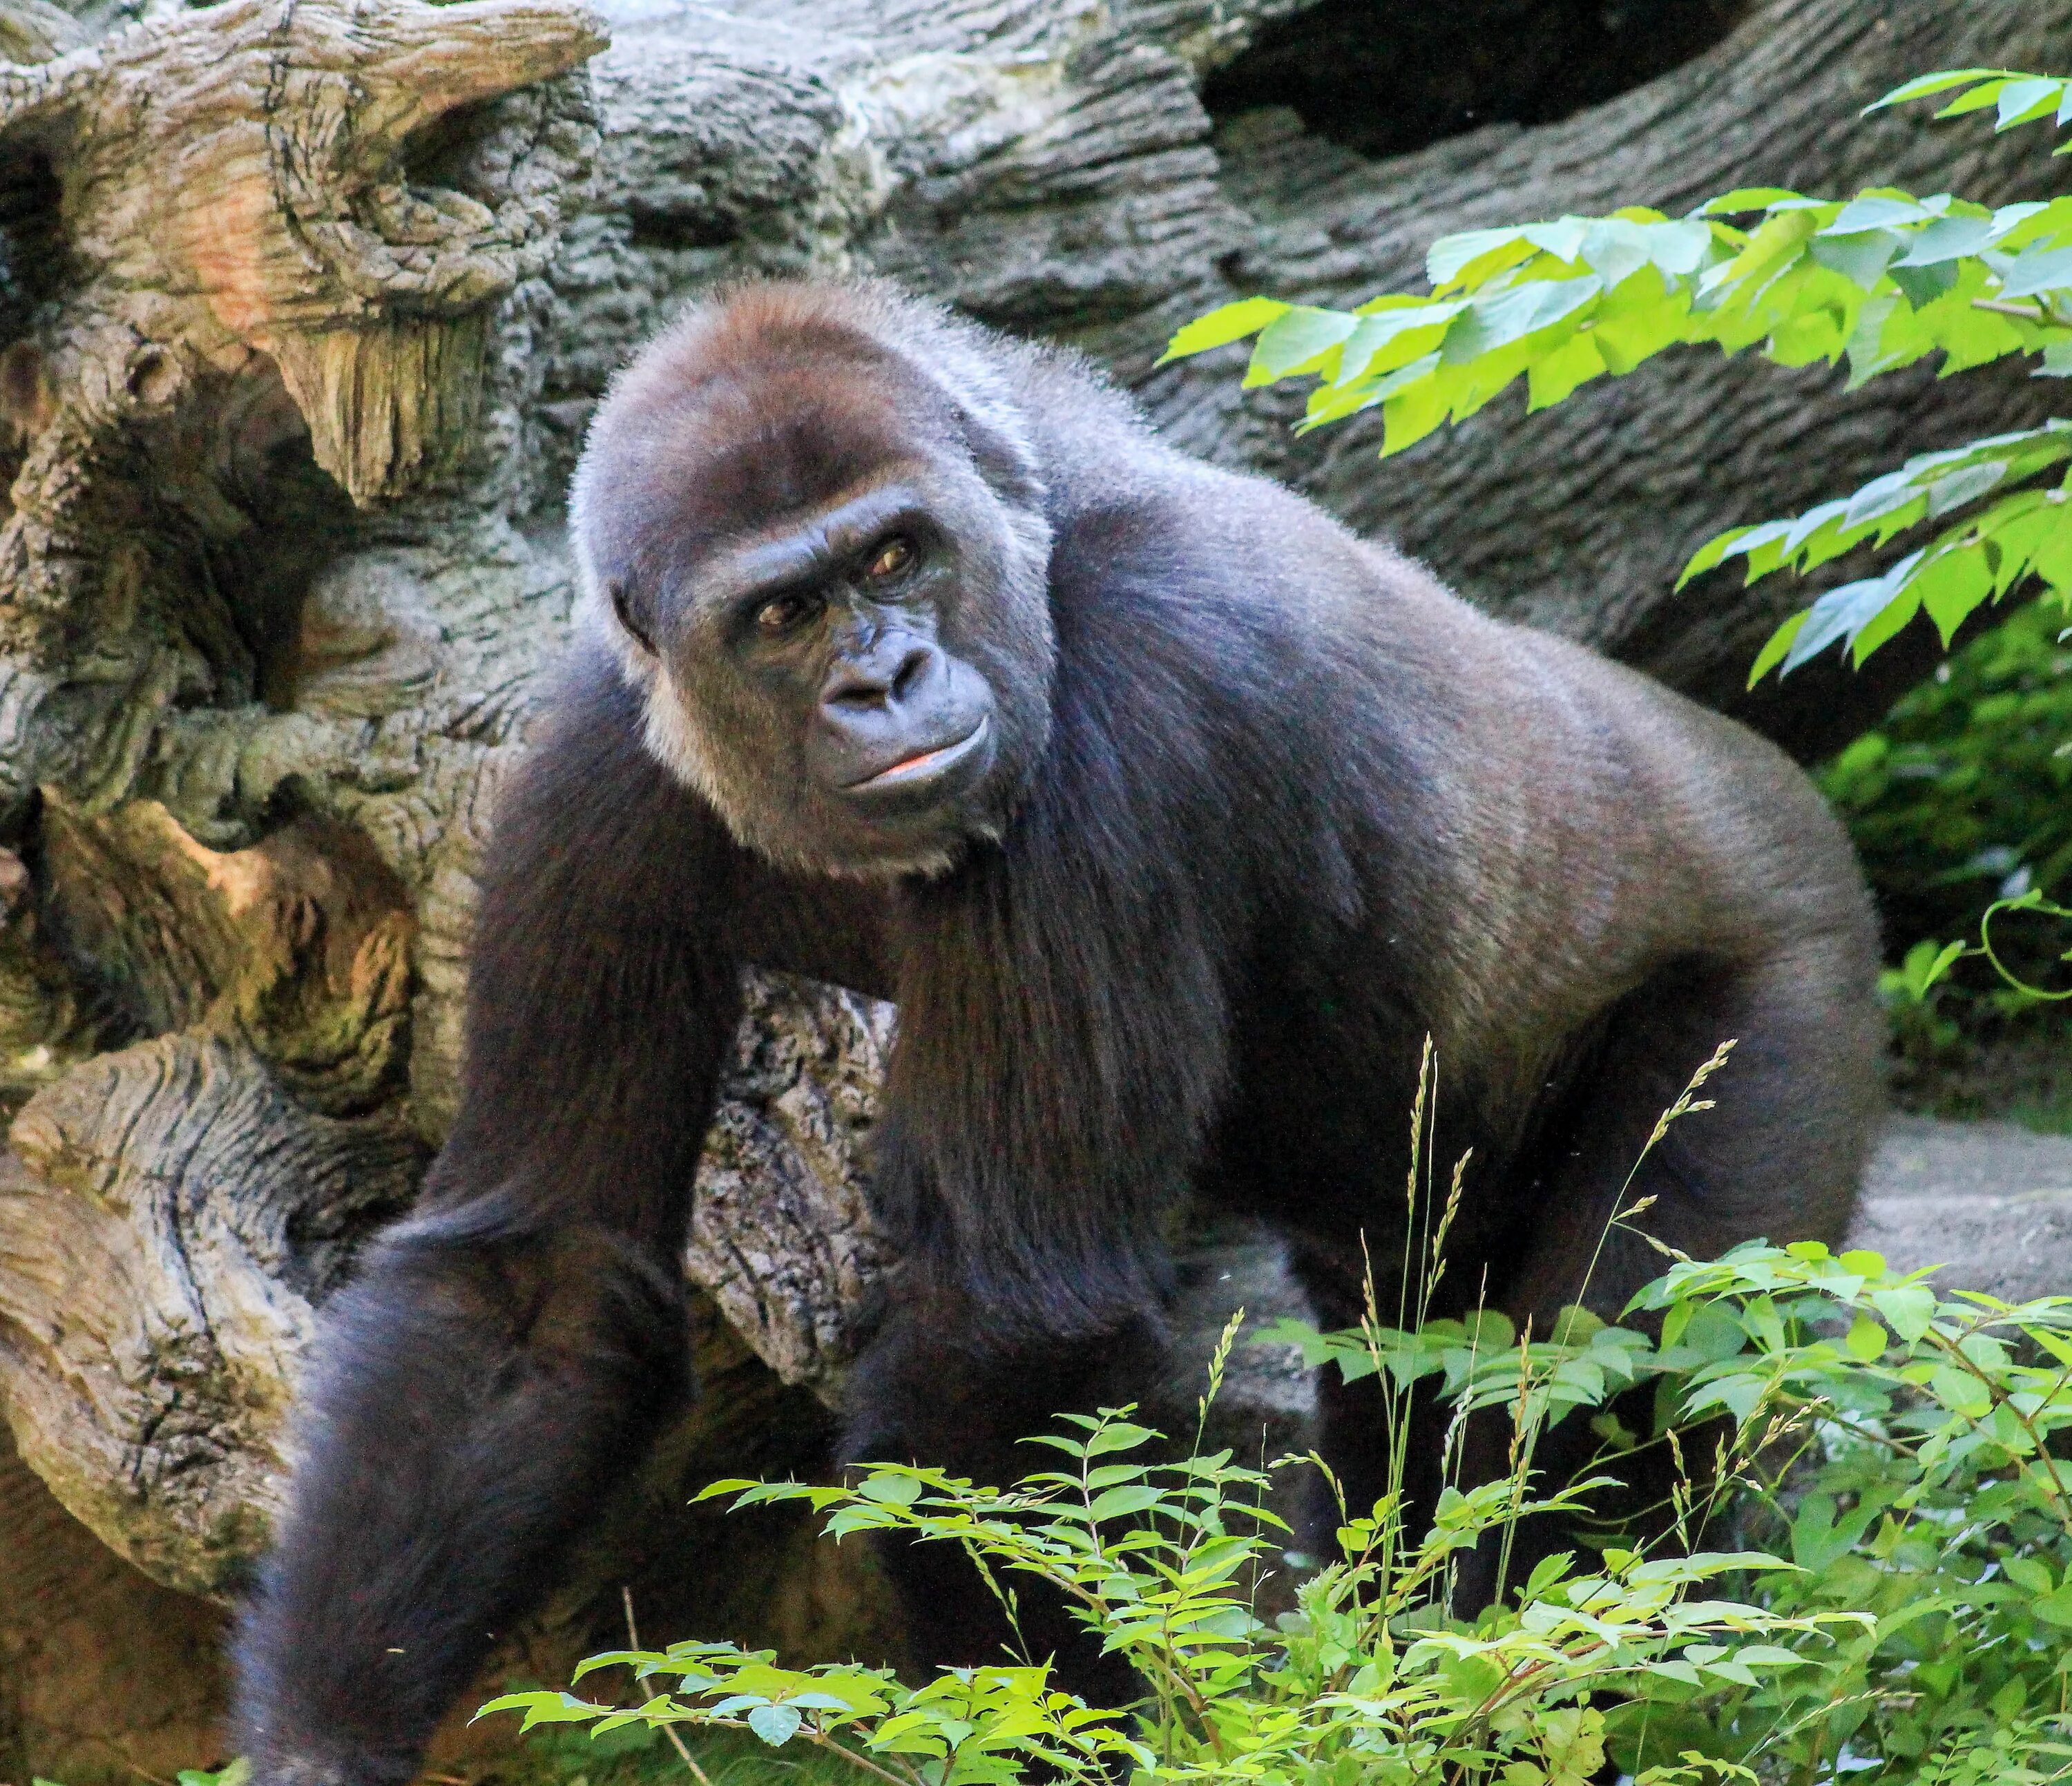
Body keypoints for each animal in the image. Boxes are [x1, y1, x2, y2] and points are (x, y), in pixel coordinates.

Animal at [235, 280, 1890, 1786]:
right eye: (784, 614)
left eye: (895, 554)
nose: (884, 678)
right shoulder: (589, 753)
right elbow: (539, 1279)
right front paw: (320, 1745)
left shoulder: (1128, 702)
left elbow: (1003, 1333)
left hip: (1788, 962)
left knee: (1613, 1394)